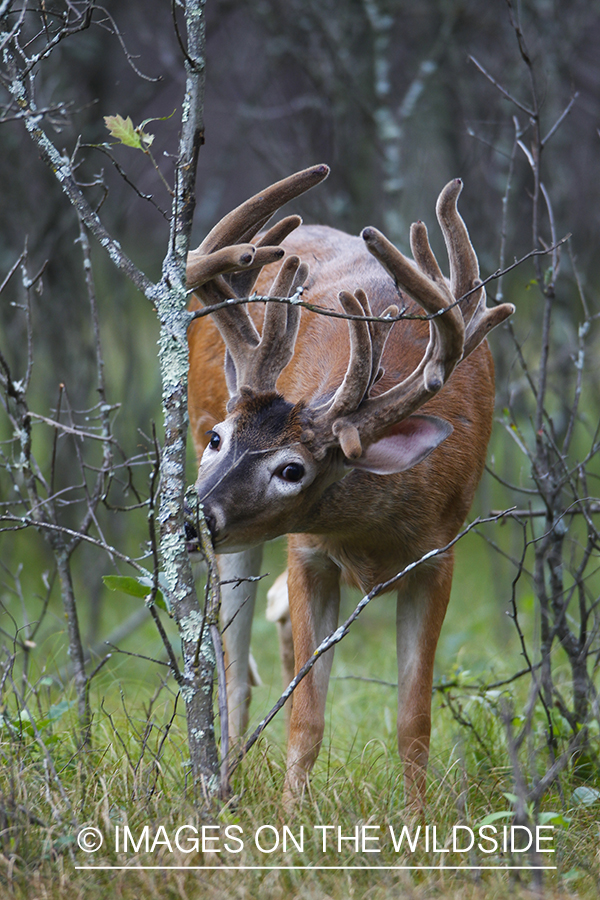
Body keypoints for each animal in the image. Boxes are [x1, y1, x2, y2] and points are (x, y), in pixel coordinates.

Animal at [185, 164, 514, 805]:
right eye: (218, 437)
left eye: (293, 470)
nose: (193, 518)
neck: (371, 535)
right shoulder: (307, 550)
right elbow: (305, 717)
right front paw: (291, 818)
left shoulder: (440, 555)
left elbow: (414, 721)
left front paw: (415, 821)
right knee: (234, 674)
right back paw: (225, 790)